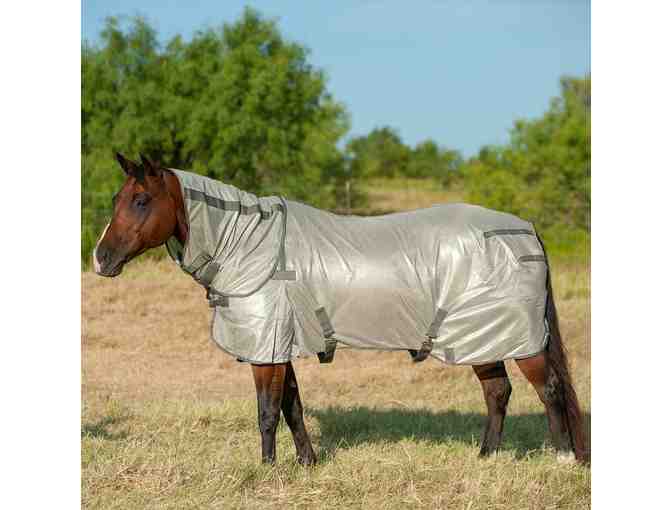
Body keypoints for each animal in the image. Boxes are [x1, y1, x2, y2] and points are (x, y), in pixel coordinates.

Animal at [92, 153, 587, 465]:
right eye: (117, 199)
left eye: (141, 200)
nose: (101, 258)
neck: (252, 247)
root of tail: (524, 230)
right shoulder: (282, 347)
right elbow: (291, 407)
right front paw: (307, 462)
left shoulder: (266, 351)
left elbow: (267, 411)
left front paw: (267, 470)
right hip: (481, 338)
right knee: (498, 392)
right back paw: (486, 457)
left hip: (518, 339)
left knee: (549, 390)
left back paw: (563, 458)